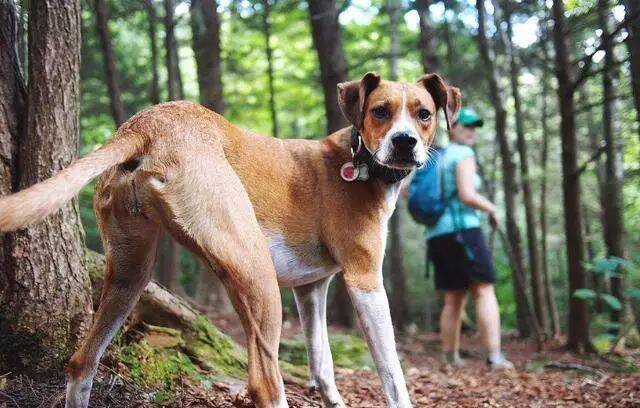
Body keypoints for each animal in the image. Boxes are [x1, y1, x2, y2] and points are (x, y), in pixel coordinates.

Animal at [0, 71, 460, 406]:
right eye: (380, 111)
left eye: (424, 114)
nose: (405, 142)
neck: (357, 161)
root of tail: (146, 123)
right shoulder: (365, 280)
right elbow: (393, 374)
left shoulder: (311, 290)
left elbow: (323, 366)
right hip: (258, 277)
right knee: (264, 384)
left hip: (130, 276)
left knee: (81, 362)